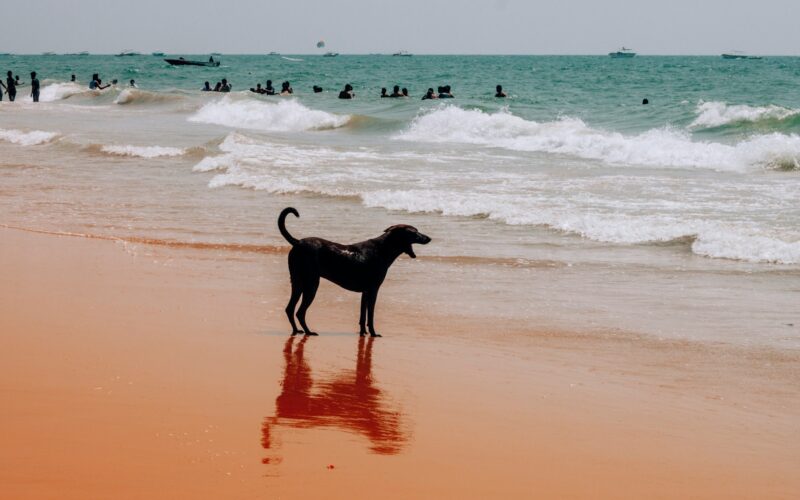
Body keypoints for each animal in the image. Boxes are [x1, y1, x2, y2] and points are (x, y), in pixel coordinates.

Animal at [280, 205, 432, 338]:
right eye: (414, 232)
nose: (429, 238)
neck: (383, 249)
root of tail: (297, 242)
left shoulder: (365, 291)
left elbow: (362, 315)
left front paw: (363, 333)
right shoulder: (373, 289)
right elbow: (370, 315)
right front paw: (373, 333)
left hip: (298, 281)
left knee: (290, 308)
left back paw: (297, 330)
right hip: (311, 283)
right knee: (300, 312)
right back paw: (308, 332)